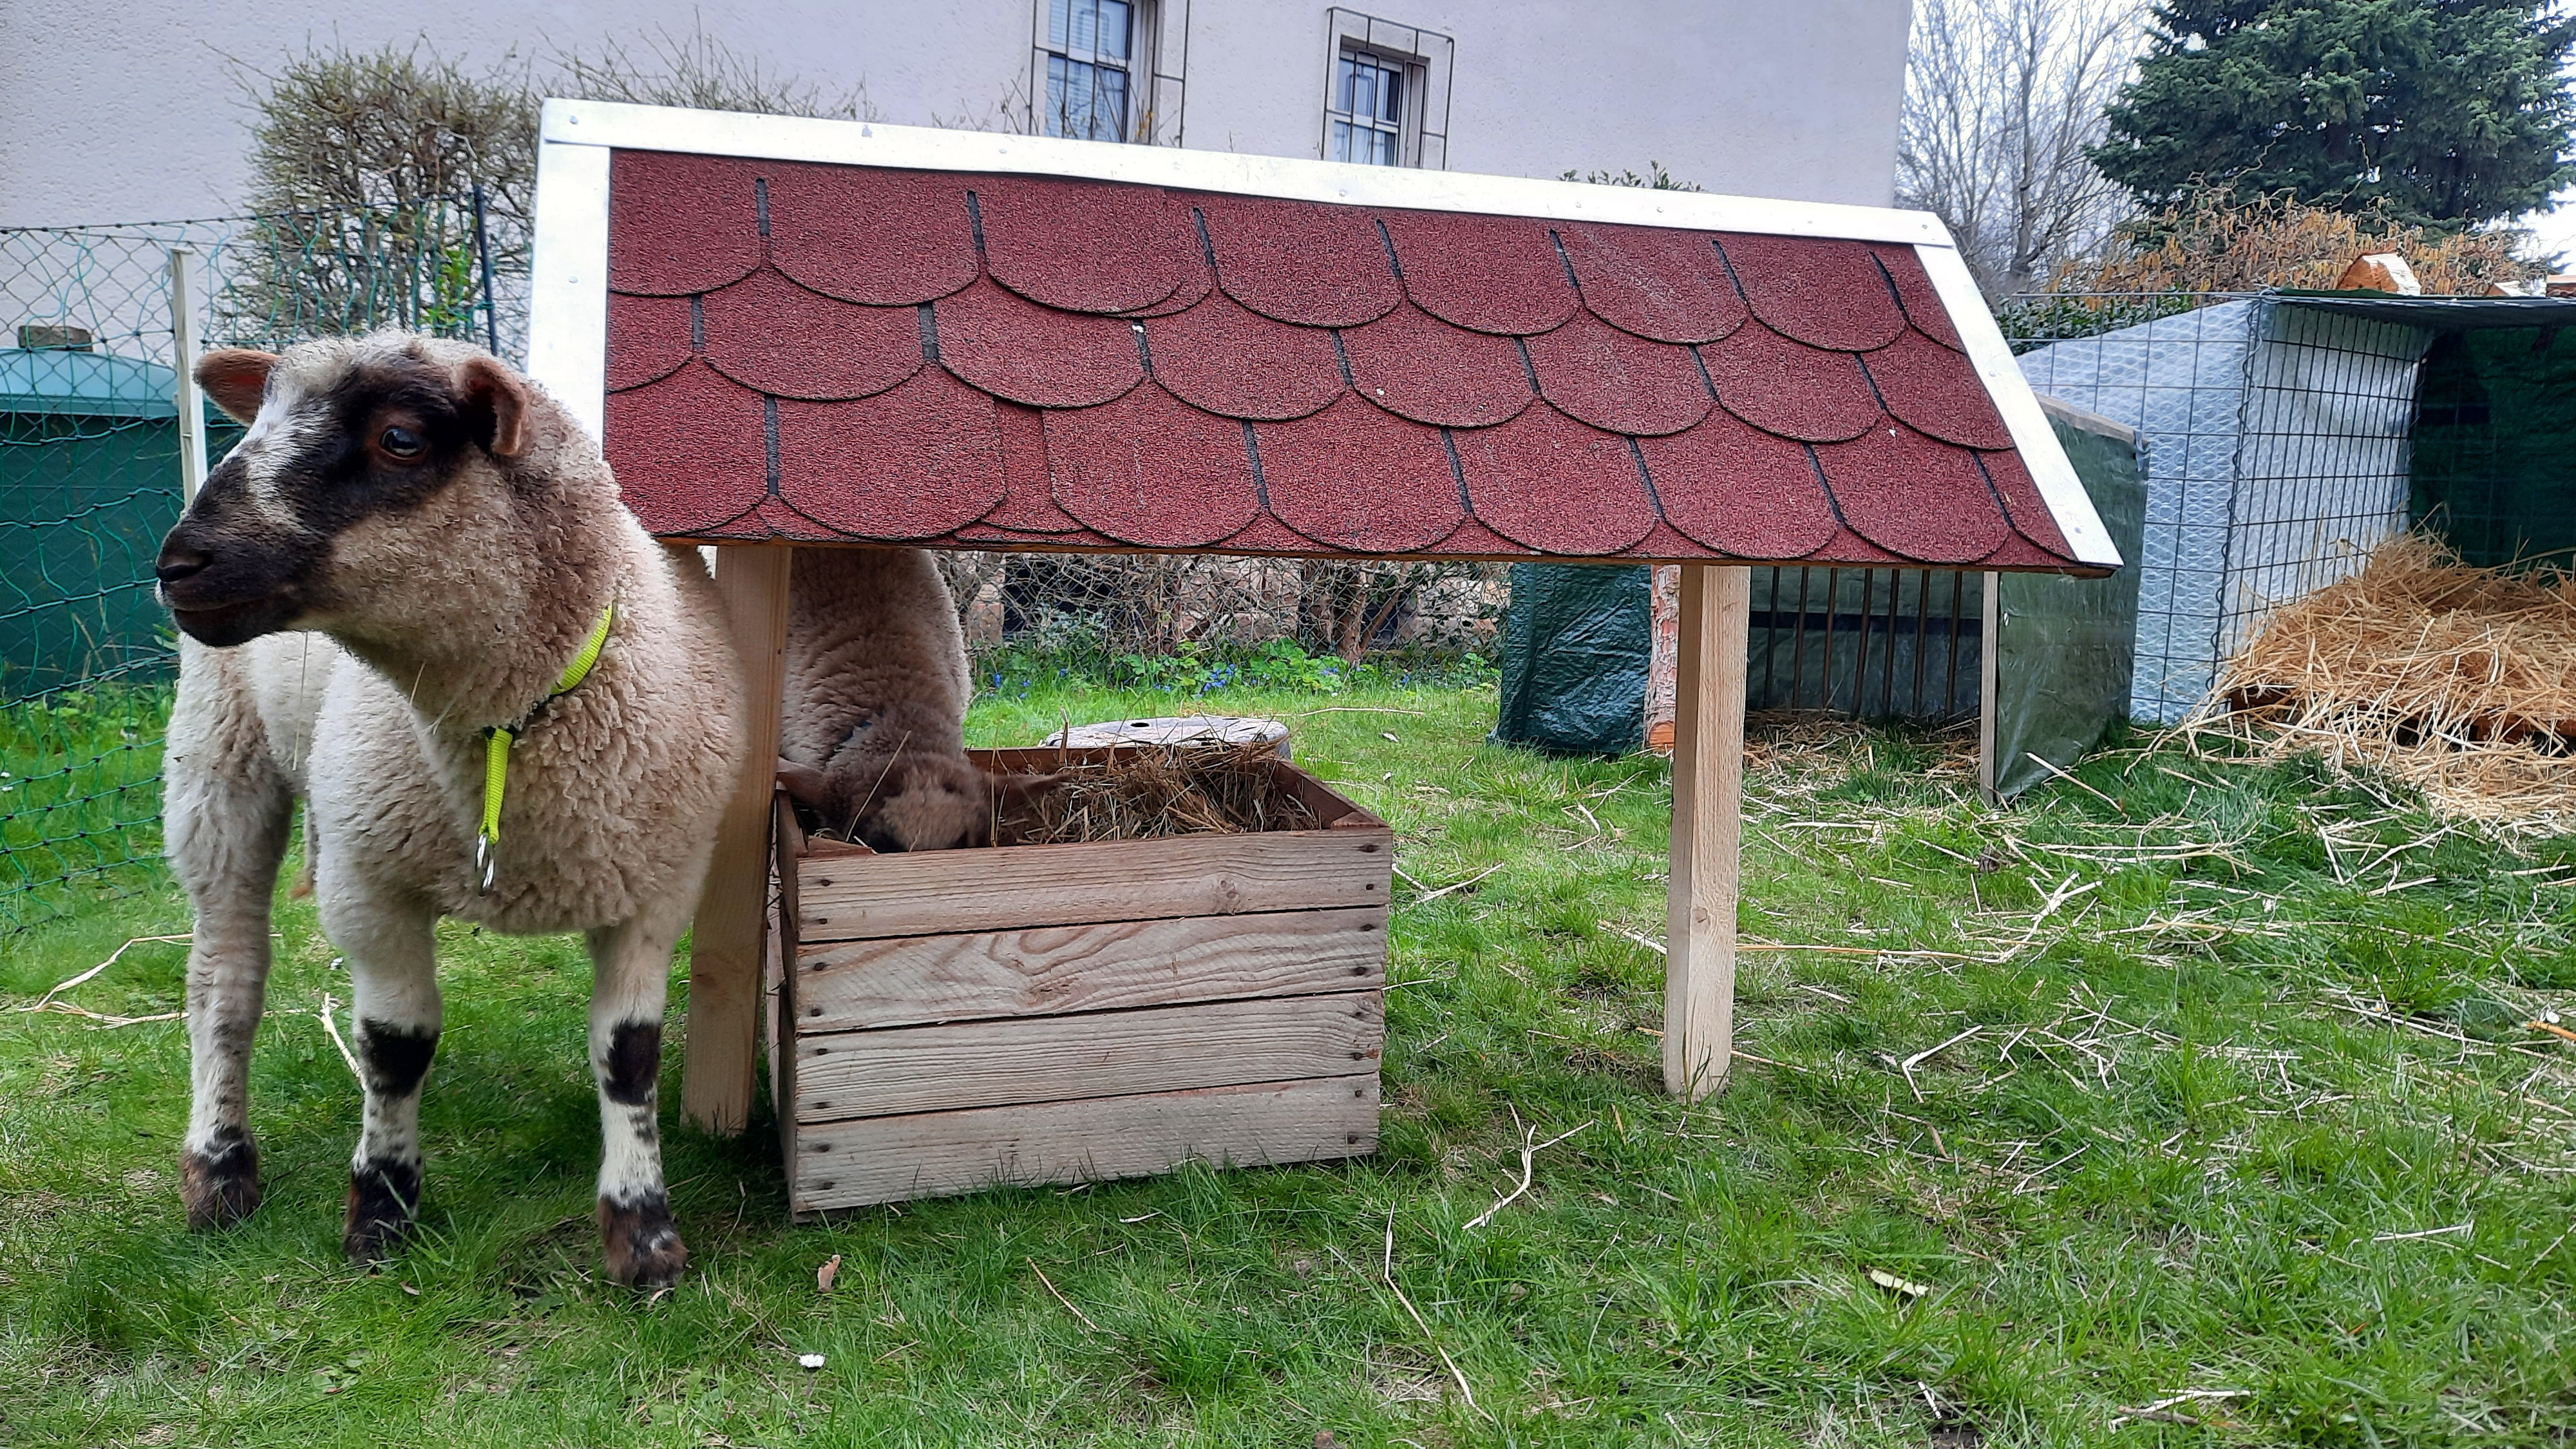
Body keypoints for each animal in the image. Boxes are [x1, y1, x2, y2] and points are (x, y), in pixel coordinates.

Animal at [154, 332, 744, 1287]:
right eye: (262, 420)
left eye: (401, 438)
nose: (179, 566)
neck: (511, 728)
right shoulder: (368, 885)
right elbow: (396, 1047)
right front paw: (382, 1213)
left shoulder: (657, 889)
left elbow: (630, 1055)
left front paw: (644, 1234)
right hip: (218, 755)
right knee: (224, 976)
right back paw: (219, 1169)